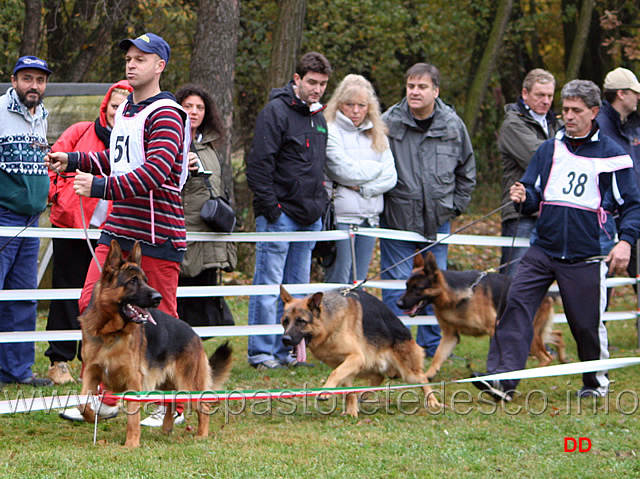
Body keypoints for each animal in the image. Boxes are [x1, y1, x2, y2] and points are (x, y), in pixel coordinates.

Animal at [77, 242, 232, 448]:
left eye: (145, 280)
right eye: (133, 281)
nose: (158, 298)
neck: (110, 333)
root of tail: (194, 334)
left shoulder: (133, 381)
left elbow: (132, 418)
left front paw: (131, 443)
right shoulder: (91, 373)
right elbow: (82, 403)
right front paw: (91, 415)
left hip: (187, 384)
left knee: (203, 406)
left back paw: (202, 434)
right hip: (169, 383)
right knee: (171, 401)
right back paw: (166, 429)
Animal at [280, 286, 440, 418]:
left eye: (301, 321)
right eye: (285, 321)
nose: (285, 339)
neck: (329, 323)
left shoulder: (356, 358)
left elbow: (335, 373)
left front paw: (325, 392)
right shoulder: (346, 363)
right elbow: (348, 390)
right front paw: (351, 411)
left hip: (407, 372)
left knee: (422, 378)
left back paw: (432, 400)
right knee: (378, 378)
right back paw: (363, 395)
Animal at [398, 251, 568, 382]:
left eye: (418, 288)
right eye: (406, 286)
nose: (398, 304)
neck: (457, 296)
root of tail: (548, 294)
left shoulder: (494, 329)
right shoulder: (450, 335)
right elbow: (438, 356)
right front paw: (428, 375)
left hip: (526, 333)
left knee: (546, 357)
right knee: (557, 335)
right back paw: (562, 359)